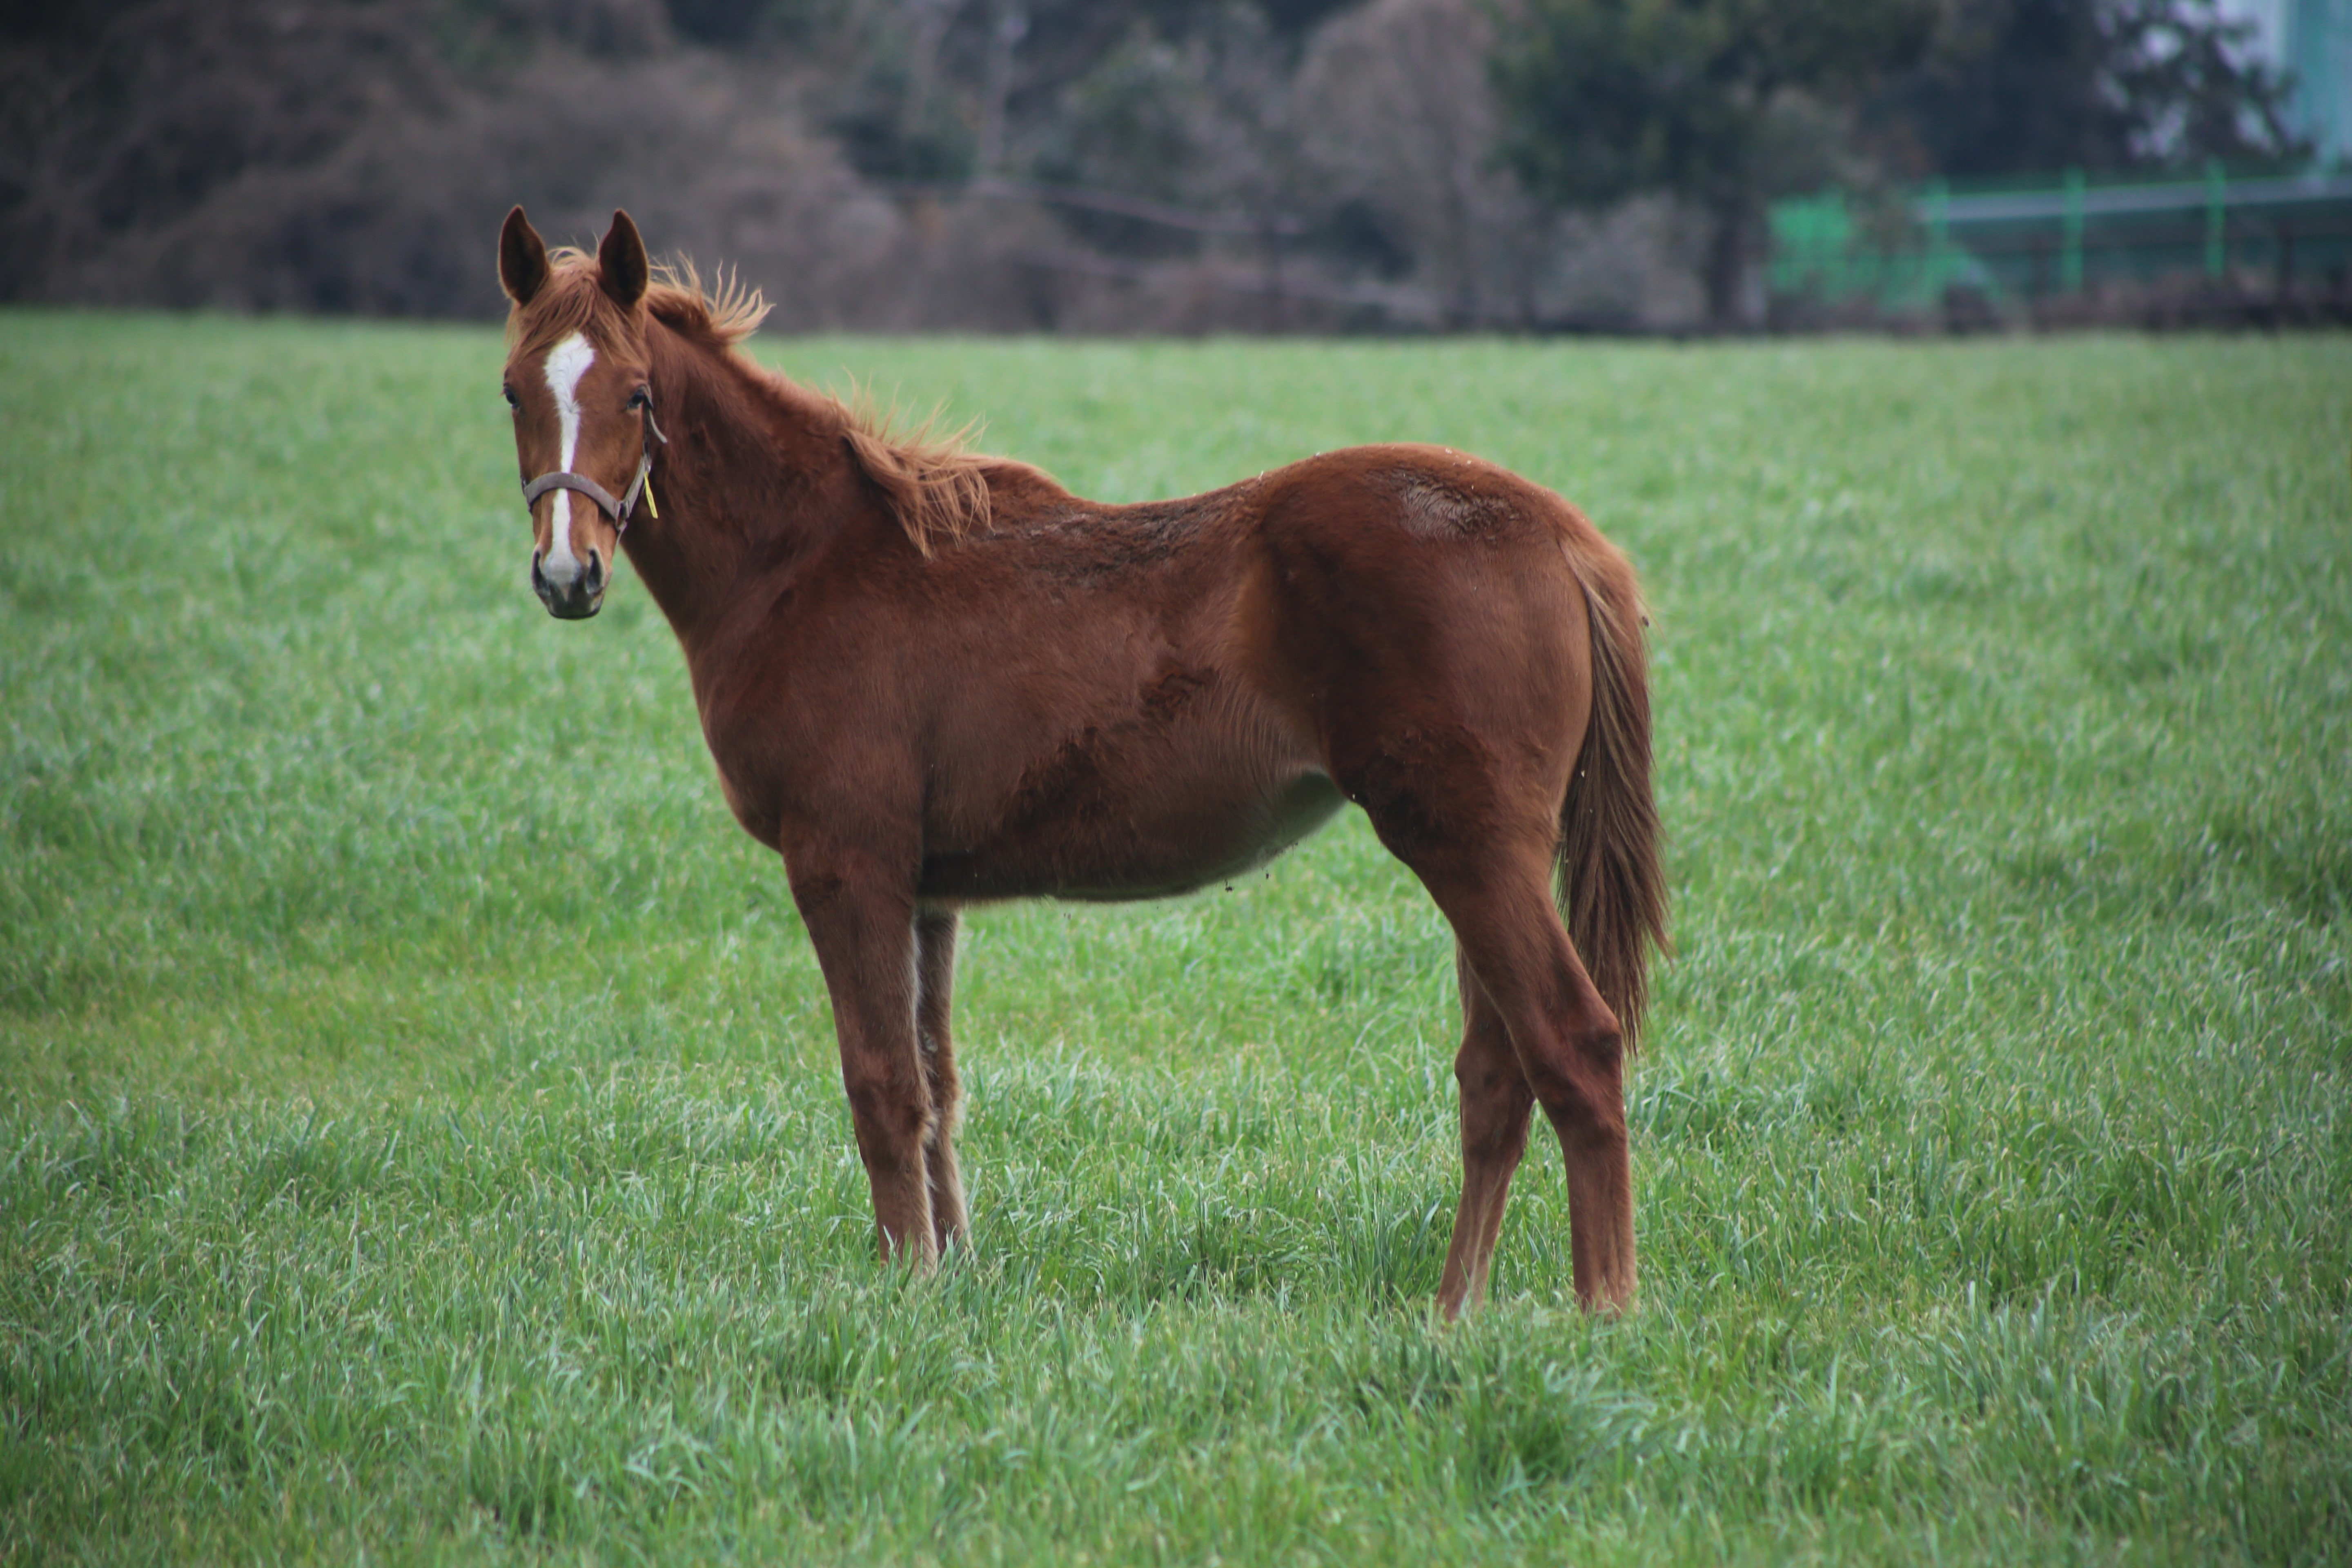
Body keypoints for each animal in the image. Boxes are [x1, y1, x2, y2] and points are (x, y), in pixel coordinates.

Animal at [499, 205, 1675, 1316]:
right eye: (513, 392)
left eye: (639, 396)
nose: (567, 575)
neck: (807, 565)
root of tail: (1569, 539)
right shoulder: (927, 894)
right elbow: (937, 1088)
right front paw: (950, 1277)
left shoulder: (846, 866)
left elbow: (881, 1086)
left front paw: (902, 1287)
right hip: (1479, 852)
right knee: (1495, 1076)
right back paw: (1453, 1312)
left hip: (1470, 848)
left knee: (1573, 1044)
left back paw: (1603, 1312)